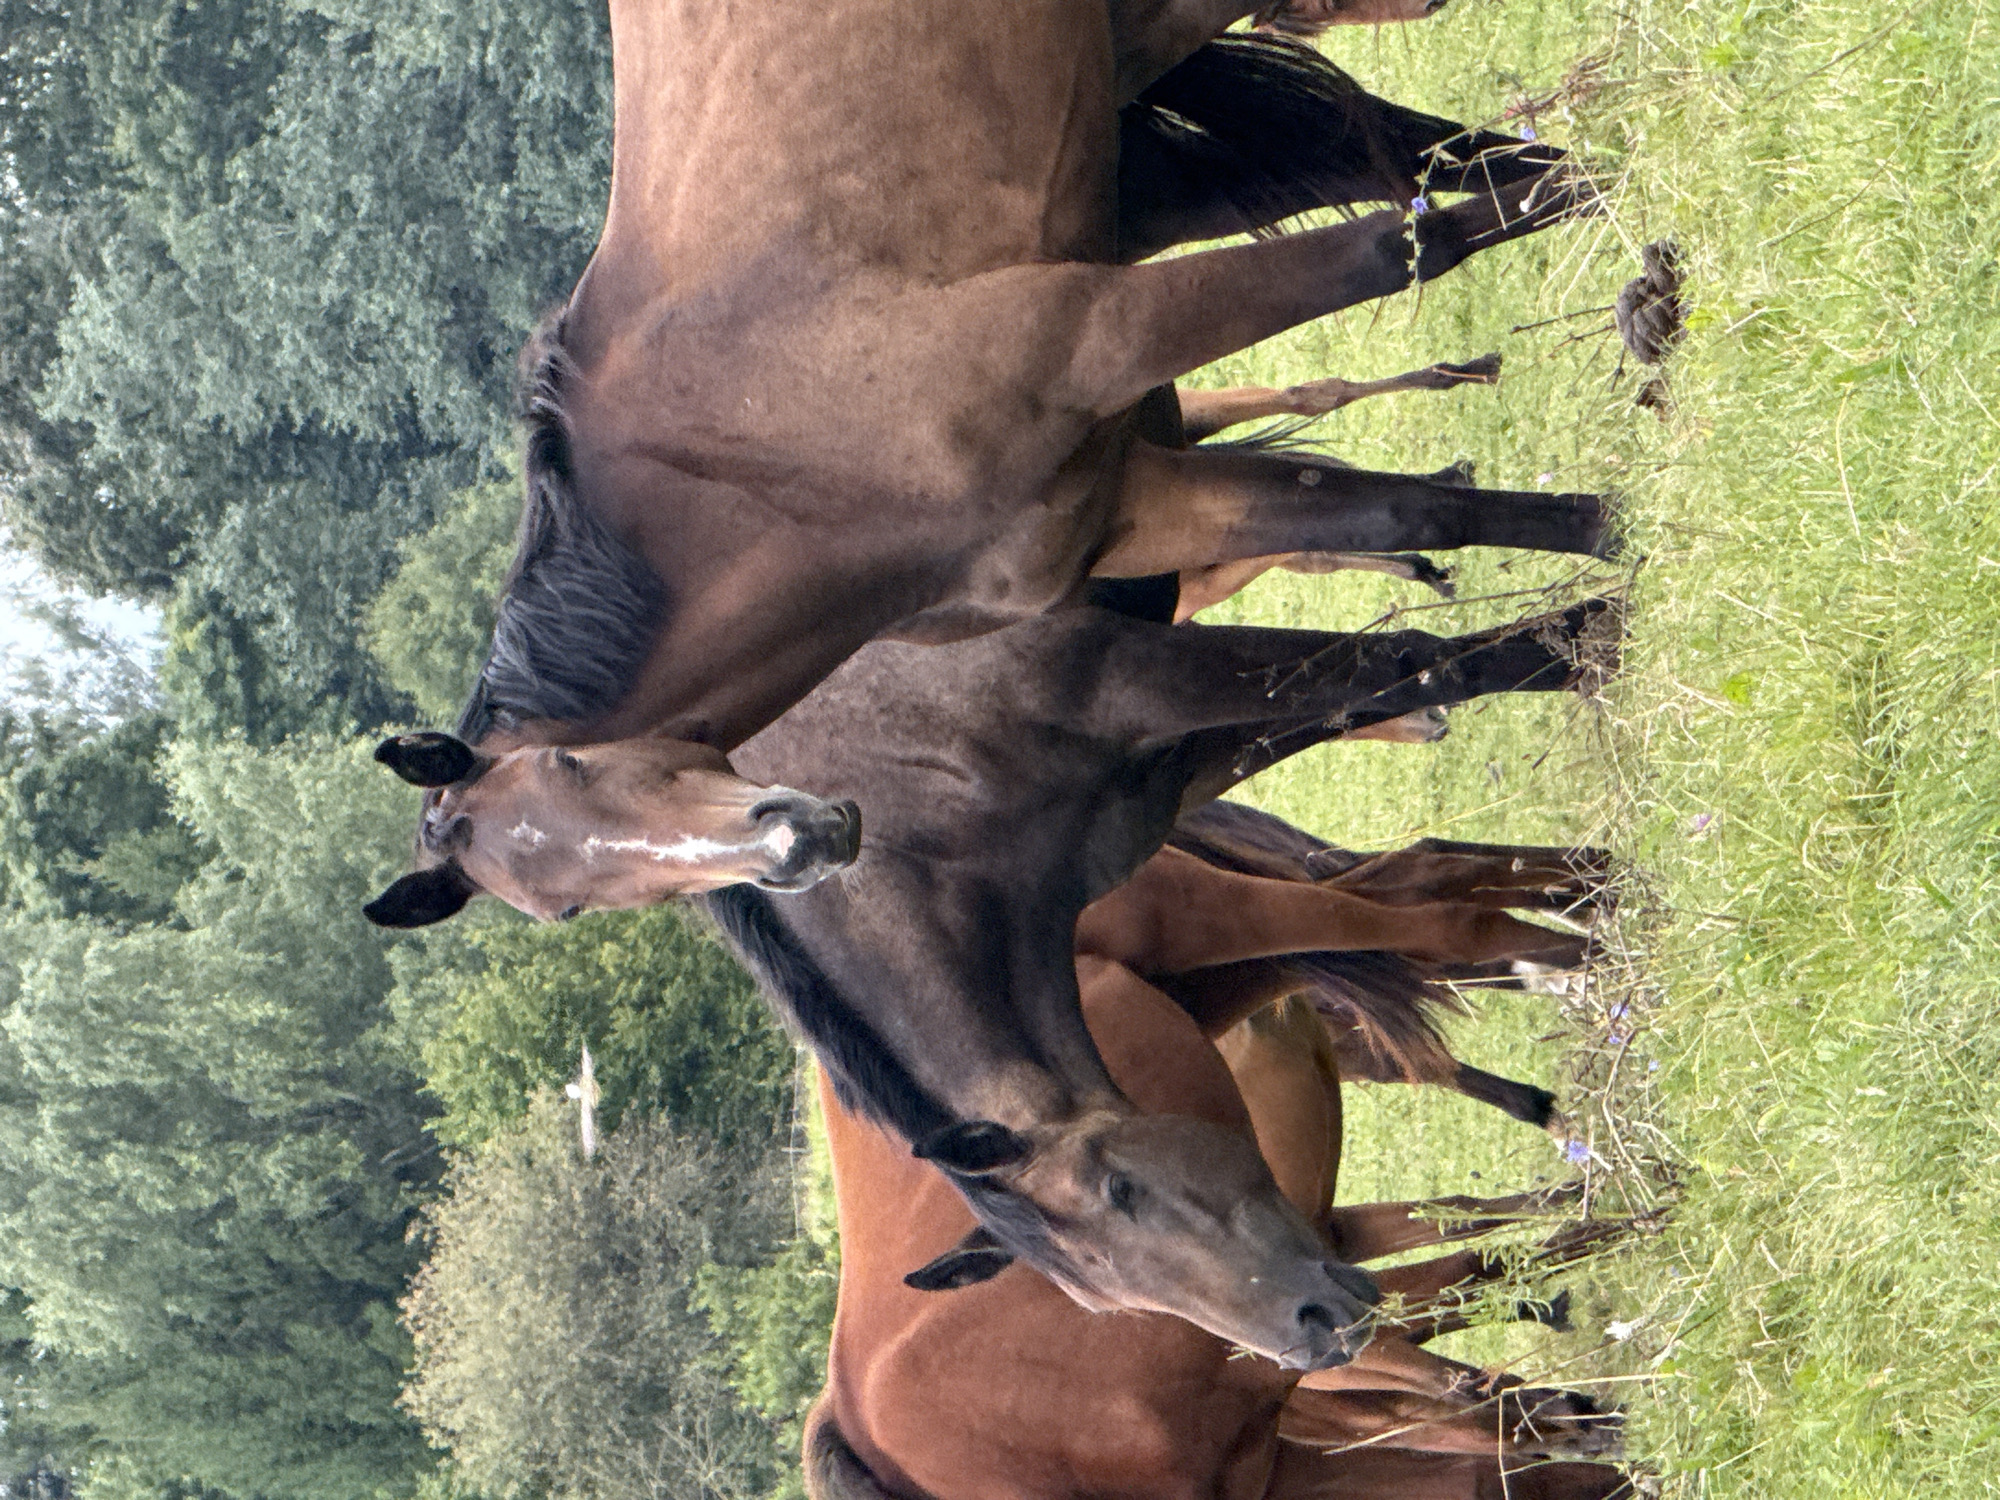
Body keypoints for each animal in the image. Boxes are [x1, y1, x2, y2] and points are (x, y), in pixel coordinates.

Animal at [369, 11, 1607, 908]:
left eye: (575, 769)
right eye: (568, 903)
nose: (796, 845)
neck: (770, 461)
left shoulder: (1116, 326)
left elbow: (1414, 244)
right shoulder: (1134, 504)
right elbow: (1406, 549)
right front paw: (1600, 583)